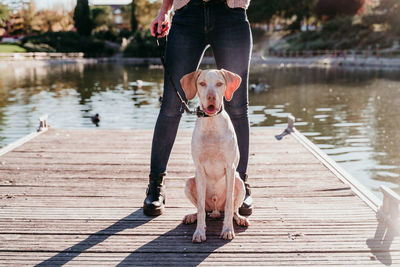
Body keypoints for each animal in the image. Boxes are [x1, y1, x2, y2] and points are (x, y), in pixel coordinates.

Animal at [179, 68, 248, 244]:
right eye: (202, 83)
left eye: (219, 83)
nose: (211, 98)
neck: (211, 123)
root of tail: (216, 209)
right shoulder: (199, 169)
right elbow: (201, 209)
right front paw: (199, 232)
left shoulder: (230, 168)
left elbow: (230, 206)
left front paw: (228, 230)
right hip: (190, 182)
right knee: (201, 208)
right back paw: (192, 216)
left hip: (239, 183)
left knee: (233, 209)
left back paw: (239, 219)